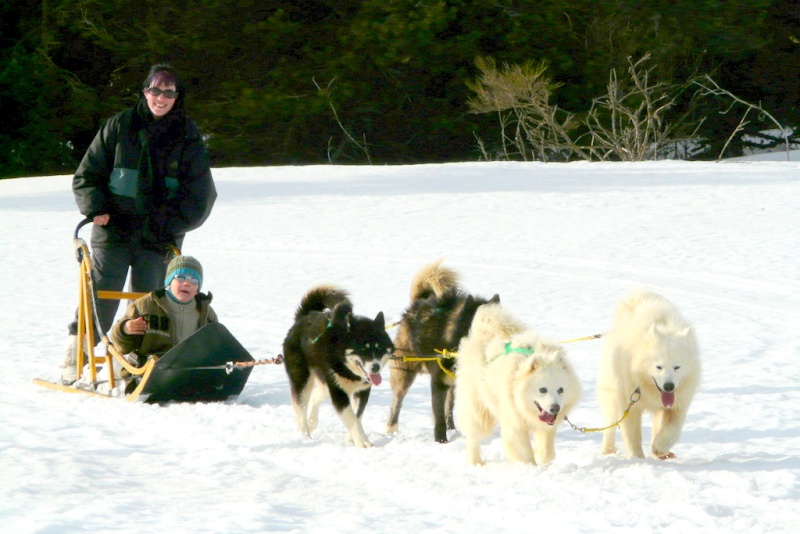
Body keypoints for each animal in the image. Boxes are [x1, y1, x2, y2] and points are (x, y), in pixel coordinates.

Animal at [456, 304, 580, 466]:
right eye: (542, 390)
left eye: (561, 390)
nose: (555, 408)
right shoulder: (514, 422)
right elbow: (523, 453)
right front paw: (529, 467)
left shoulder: (546, 426)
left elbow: (547, 452)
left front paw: (541, 457)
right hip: (478, 410)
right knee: (473, 436)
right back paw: (475, 462)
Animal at [596, 288, 704, 460]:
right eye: (658, 367)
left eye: (677, 367)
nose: (669, 386)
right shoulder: (629, 402)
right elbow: (633, 436)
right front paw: (638, 459)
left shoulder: (679, 403)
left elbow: (672, 430)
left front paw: (659, 447)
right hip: (611, 392)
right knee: (610, 424)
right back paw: (608, 450)